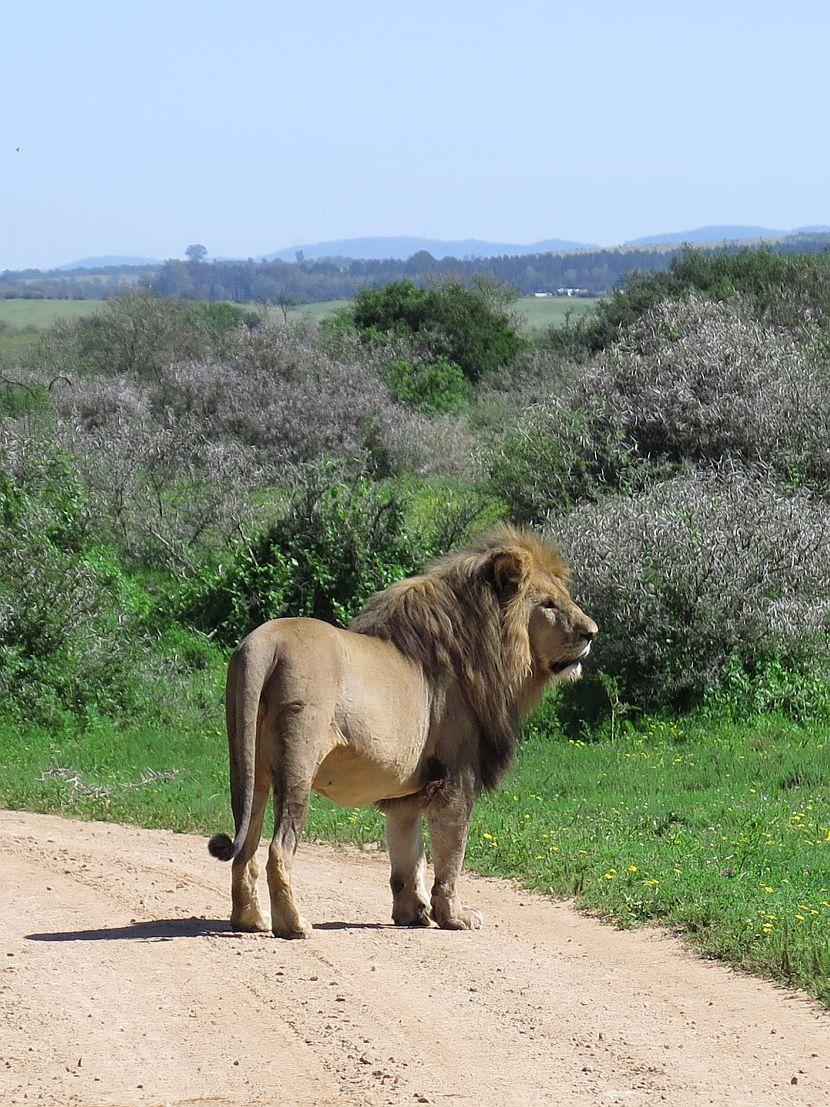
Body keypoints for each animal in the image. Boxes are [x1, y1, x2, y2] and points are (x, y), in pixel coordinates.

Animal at [208, 524, 597, 934]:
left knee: (245, 850)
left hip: (249, 768)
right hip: (297, 764)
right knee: (278, 848)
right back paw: (294, 925)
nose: (592, 632)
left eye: (565, 599)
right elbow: (450, 854)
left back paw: (250, 920)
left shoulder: (409, 790)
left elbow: (408, 855)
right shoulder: (457, 777)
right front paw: (454, 916)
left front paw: (413, 914)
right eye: (549, 604)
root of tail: (263, 642)